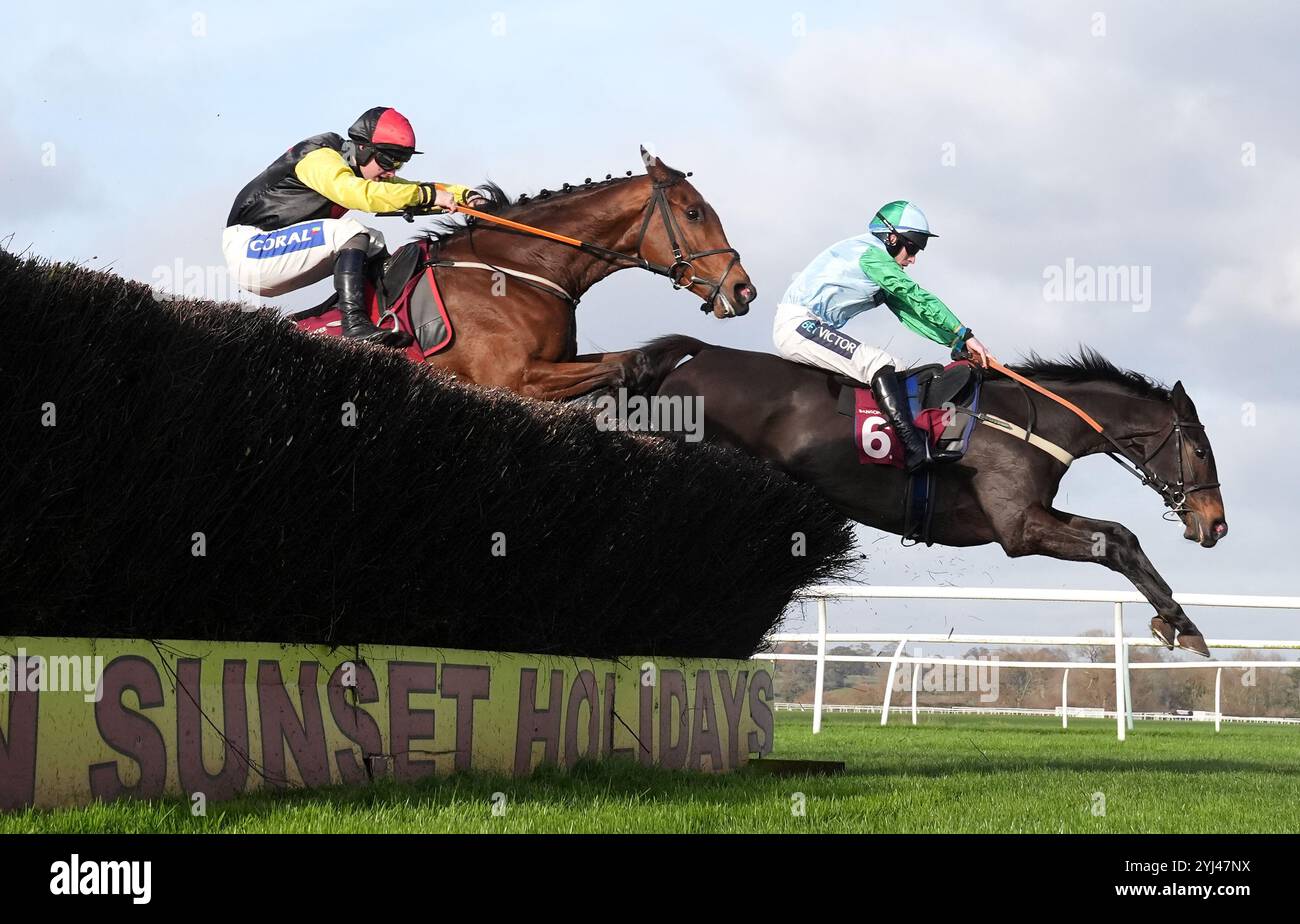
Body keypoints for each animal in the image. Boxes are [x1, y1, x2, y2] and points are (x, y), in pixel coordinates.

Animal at [296, 148, 759, 400]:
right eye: (694, 213)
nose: (743, 290)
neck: (519, 270)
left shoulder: (558, 361)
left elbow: (624, 360)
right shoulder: (512, 379)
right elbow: (627, 366)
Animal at [639, 335, 1227, 654]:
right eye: (1200, 449)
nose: (1216, 524)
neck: (1034, 422)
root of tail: (701, 353)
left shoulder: (1030, 513)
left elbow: (1120, 536)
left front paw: (1178, 623)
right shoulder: (1018, 529)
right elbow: (1117, 544)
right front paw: (1181, 624)